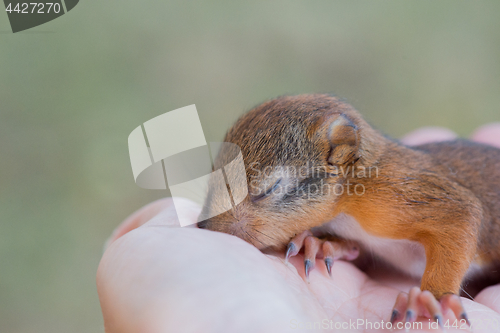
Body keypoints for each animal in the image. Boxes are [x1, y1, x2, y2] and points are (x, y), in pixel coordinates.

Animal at [197, 94, 498, 326]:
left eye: (268, 189)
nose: (204, 227)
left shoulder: (400, 193)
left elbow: (463, 213)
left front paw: (432, 298)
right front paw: (319, 243)